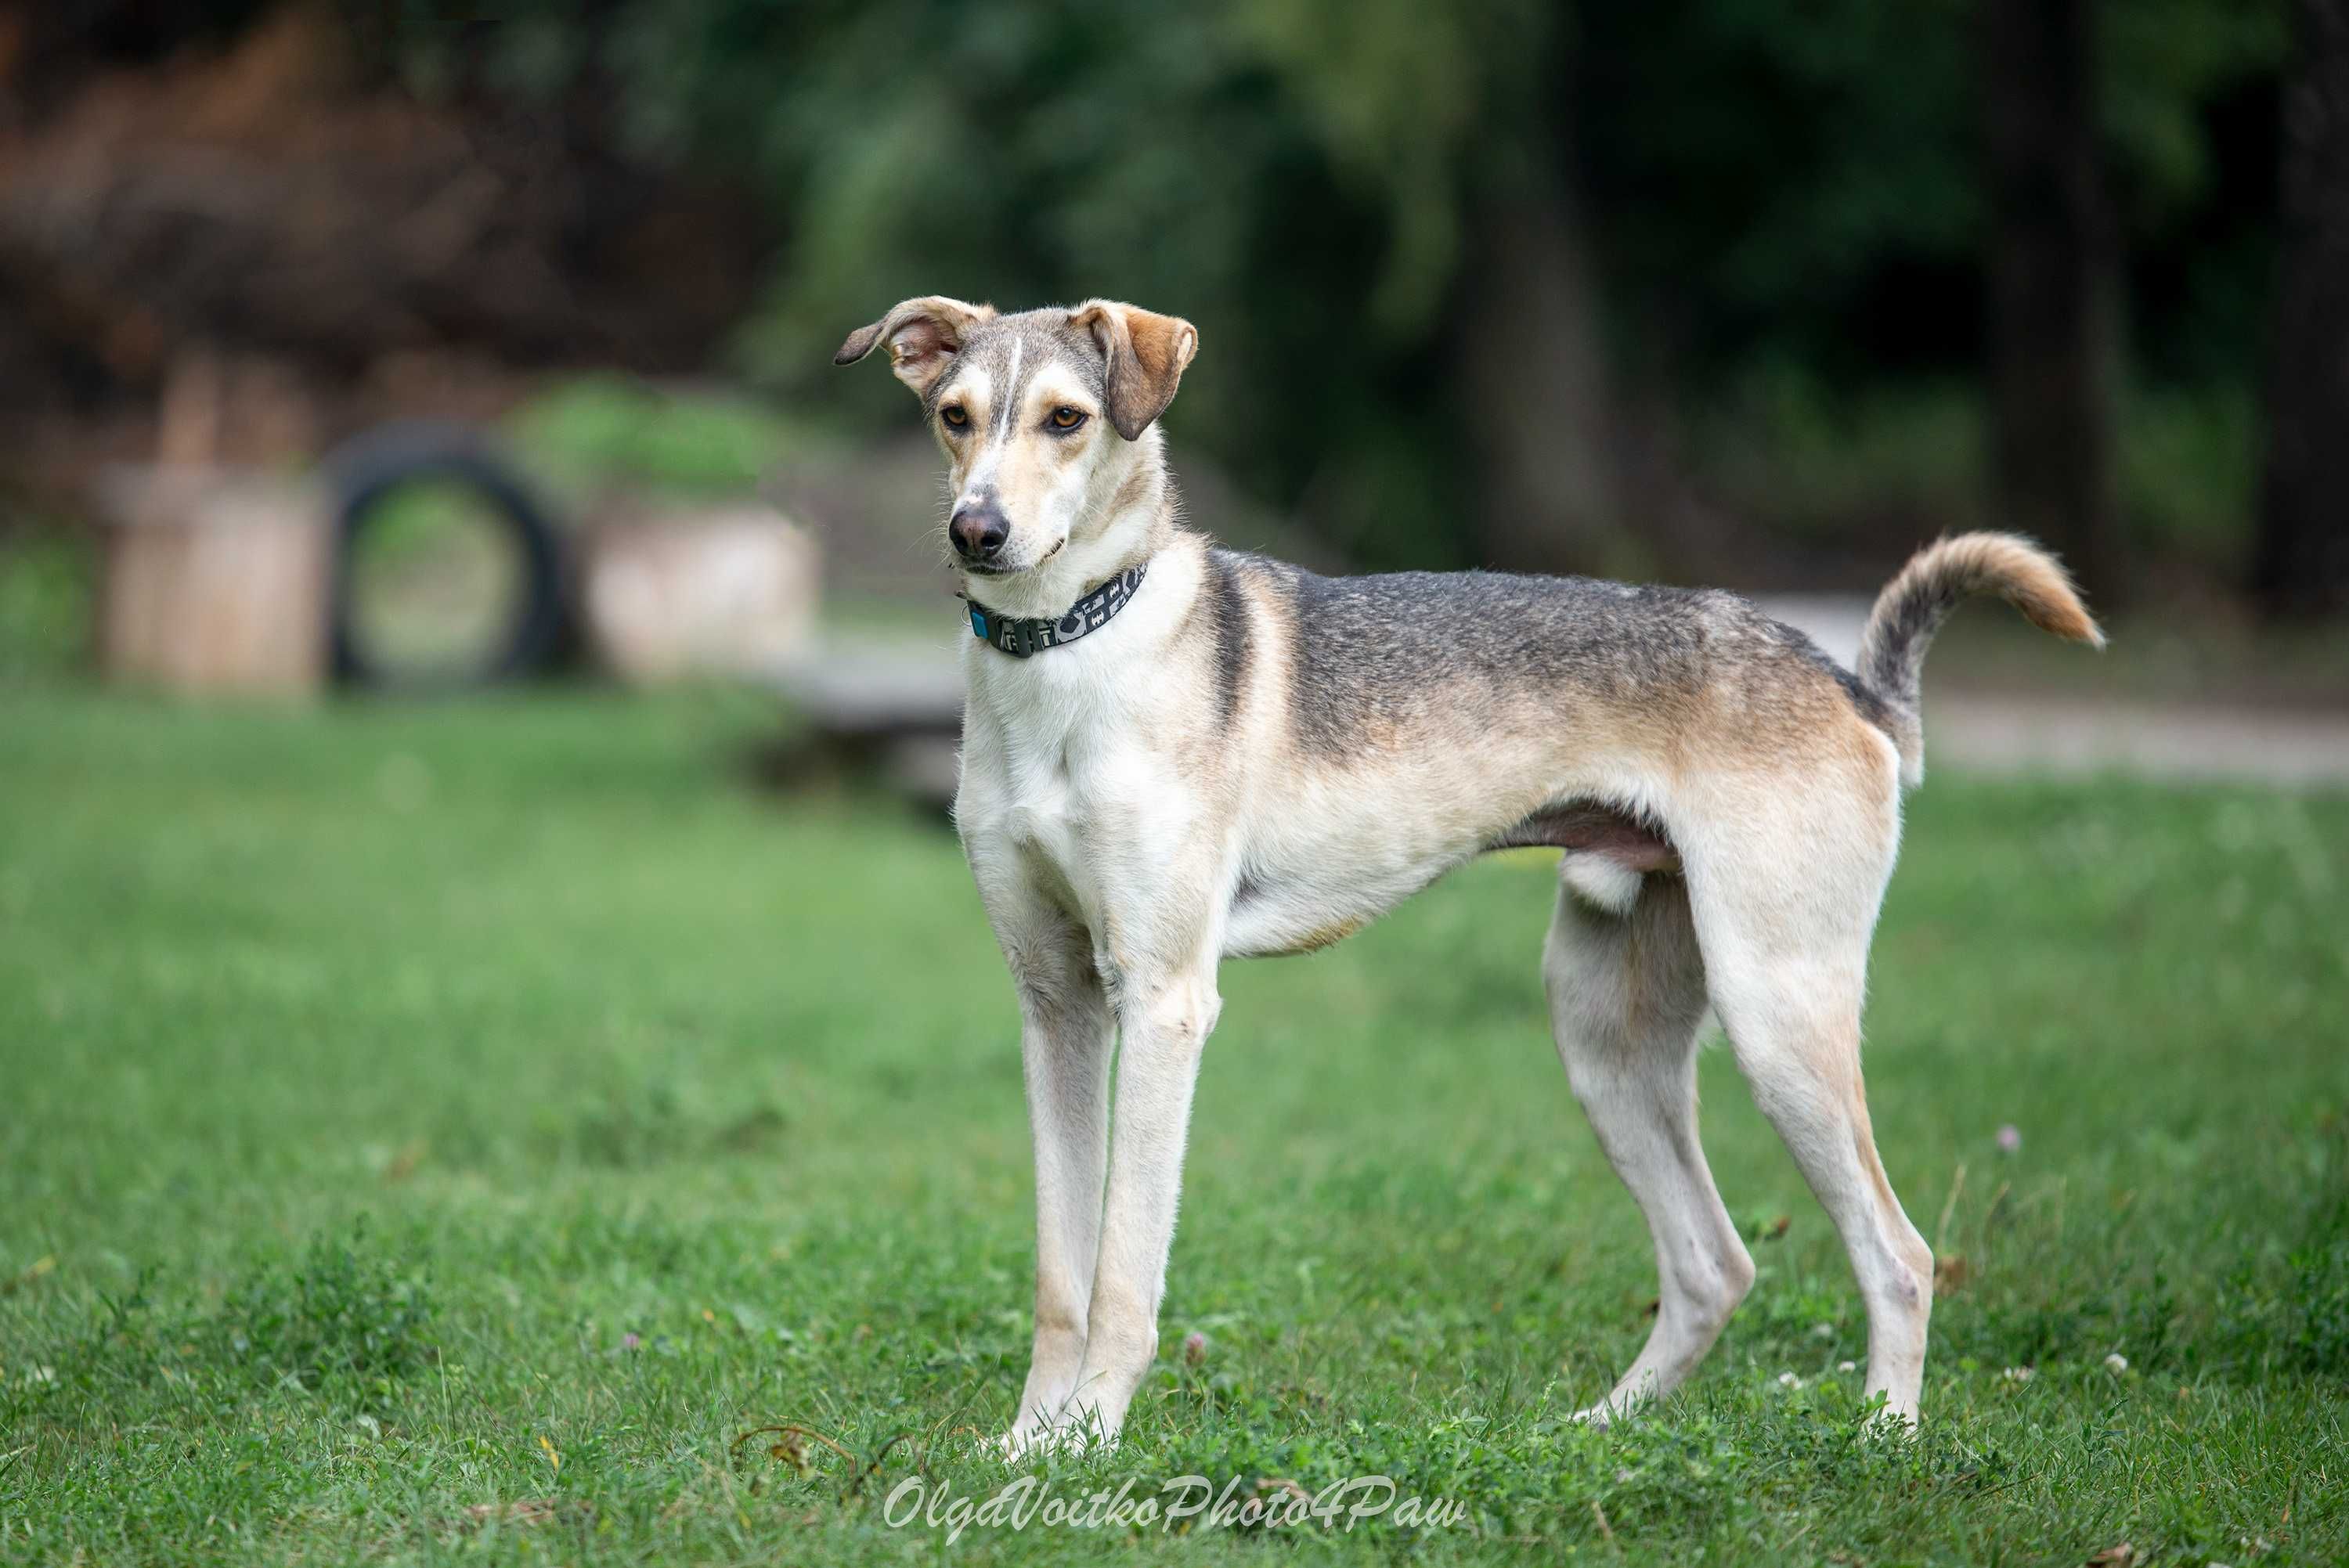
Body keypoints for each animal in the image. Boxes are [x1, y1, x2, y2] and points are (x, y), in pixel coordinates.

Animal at [836, 290, 2105, 1446]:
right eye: (954, 416)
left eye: (1067, 418)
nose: (975, 531)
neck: (1070, 650)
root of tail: (1851, 684)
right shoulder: (1057, 1005)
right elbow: (1060, 1269)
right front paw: (1027, 1443)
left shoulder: (1161, 1002)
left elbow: (1121, 1270)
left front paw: (1089, 1440)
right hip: (1608, 1042)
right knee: (1716, 1262)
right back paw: (1599, 1430)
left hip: (1779, 1014)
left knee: (1899, 1252)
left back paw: (1884, 1435)